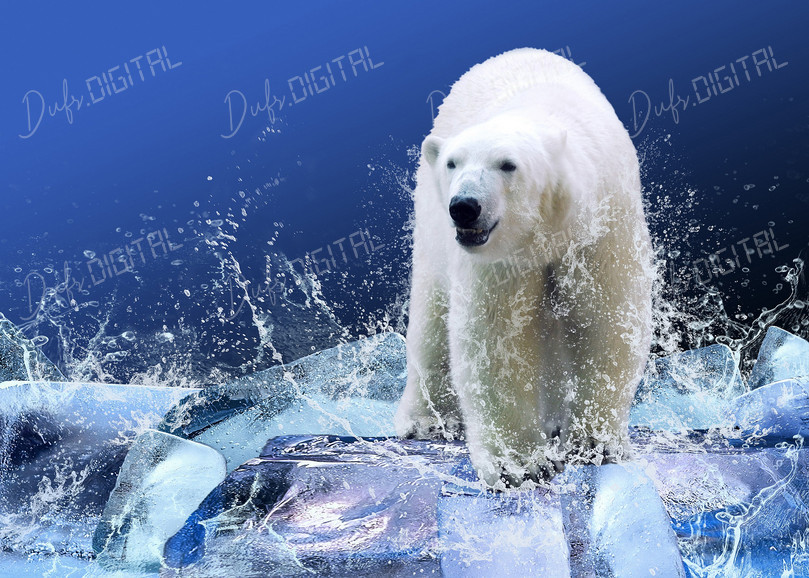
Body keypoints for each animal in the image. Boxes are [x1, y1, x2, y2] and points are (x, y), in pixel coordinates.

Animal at [394, 48, 654, 489]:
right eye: (452, 163)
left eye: (507, 164)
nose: (465, 207)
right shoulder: (501, 260)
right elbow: (497, 339)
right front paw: (519, 464)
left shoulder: (602, 227)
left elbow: (607, 320)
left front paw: (594, 444)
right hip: (431, 230)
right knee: (431, 320)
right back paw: (427, 420)